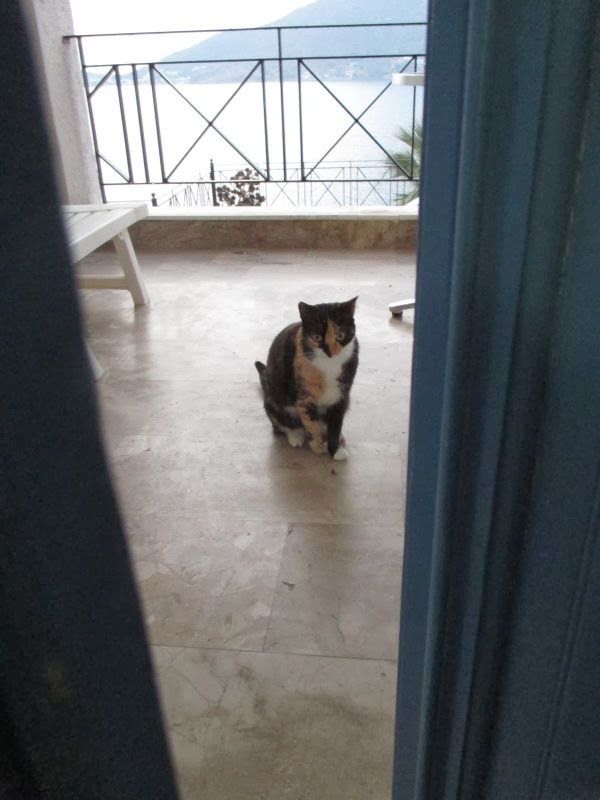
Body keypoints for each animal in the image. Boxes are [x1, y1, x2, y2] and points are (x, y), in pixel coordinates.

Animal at [255, 297, 359, 461]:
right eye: (316, 337)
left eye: (340, 335)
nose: (331, 352)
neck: (330, 365)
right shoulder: (304, 399)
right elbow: (311, 424)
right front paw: (317, 446)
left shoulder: (341, 396)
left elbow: (335, 424)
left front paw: (335, 449)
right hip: (274, 400)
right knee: (281, 424)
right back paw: (296, 436)